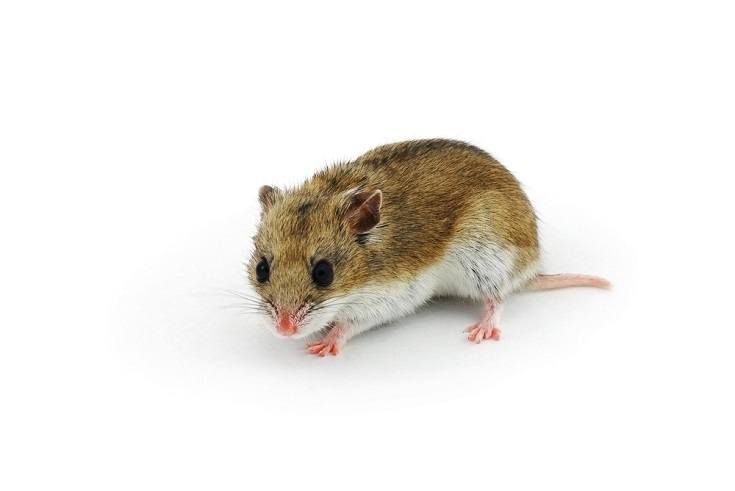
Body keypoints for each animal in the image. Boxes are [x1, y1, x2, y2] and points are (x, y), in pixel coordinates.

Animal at [247, 139, 609, 356]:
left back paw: (481, 331)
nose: (284, 331)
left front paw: (322, 347)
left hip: (486, 261)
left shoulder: (387, 299)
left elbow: (348, 325)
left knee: (498, 298)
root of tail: (532, 268)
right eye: (261, 269)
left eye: (324, 273)